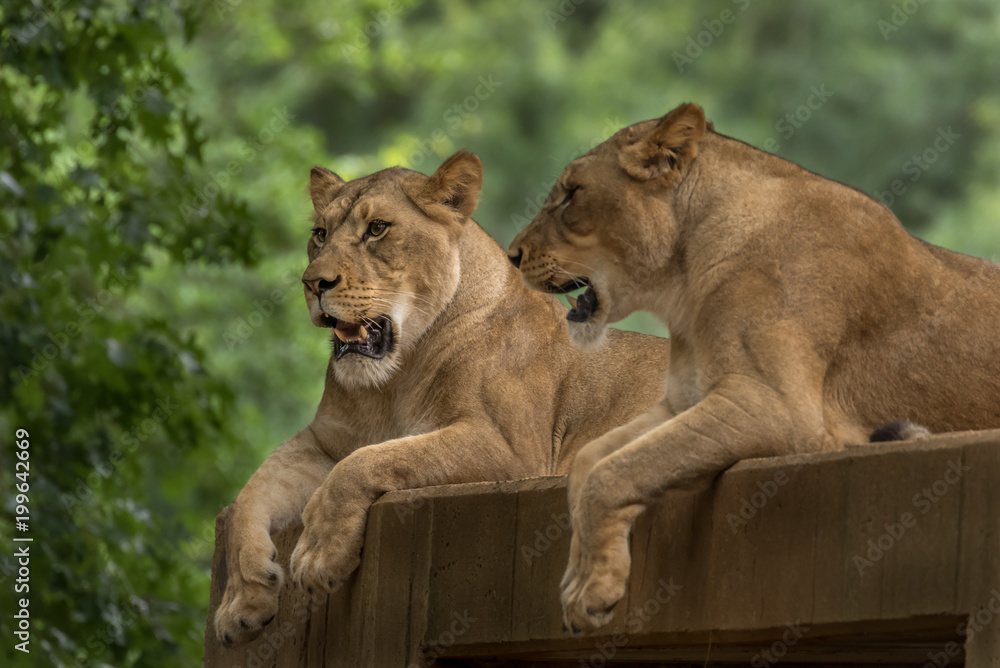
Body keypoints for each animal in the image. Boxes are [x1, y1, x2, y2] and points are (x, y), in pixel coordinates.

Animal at [212, 150, 670, 647]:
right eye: (320, 234)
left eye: (377, 229)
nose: (313, 283)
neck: (392, 381)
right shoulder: (321, 442)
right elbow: (246, 498)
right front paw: (242, 601)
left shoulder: (513, 452)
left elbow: (369, 461)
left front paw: (318, 553)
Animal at [508, 103, 1000, 633]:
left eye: (571, 194)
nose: (512, 255)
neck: (684, 281)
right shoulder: (683, 401)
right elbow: (591, 459)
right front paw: (580, 577)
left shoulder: (773, 405)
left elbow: (617, 471)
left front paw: (593, 591)